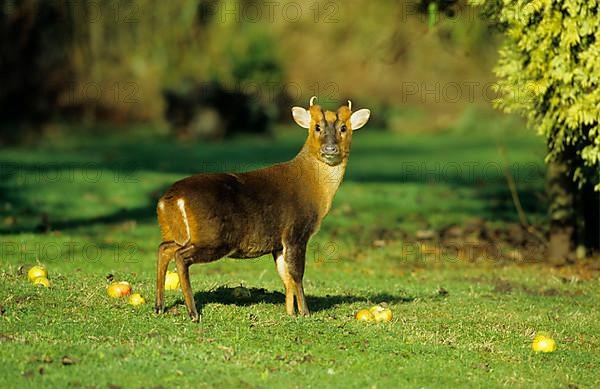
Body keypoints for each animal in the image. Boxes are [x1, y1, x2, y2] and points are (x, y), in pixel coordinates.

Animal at [155, 95, 370, 320]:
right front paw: (305, 312)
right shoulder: (296, 232)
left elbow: (285, 277)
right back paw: (193, 312)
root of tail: (170, 198)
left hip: (178, 234)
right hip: (213, 237)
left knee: (164, 248)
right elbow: (297, 274)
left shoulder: (278, 244)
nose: (330, 149)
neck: (316, 187)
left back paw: (159, 307)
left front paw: (290, 313)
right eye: (317, 127)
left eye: (344, 127)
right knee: (180, 256)